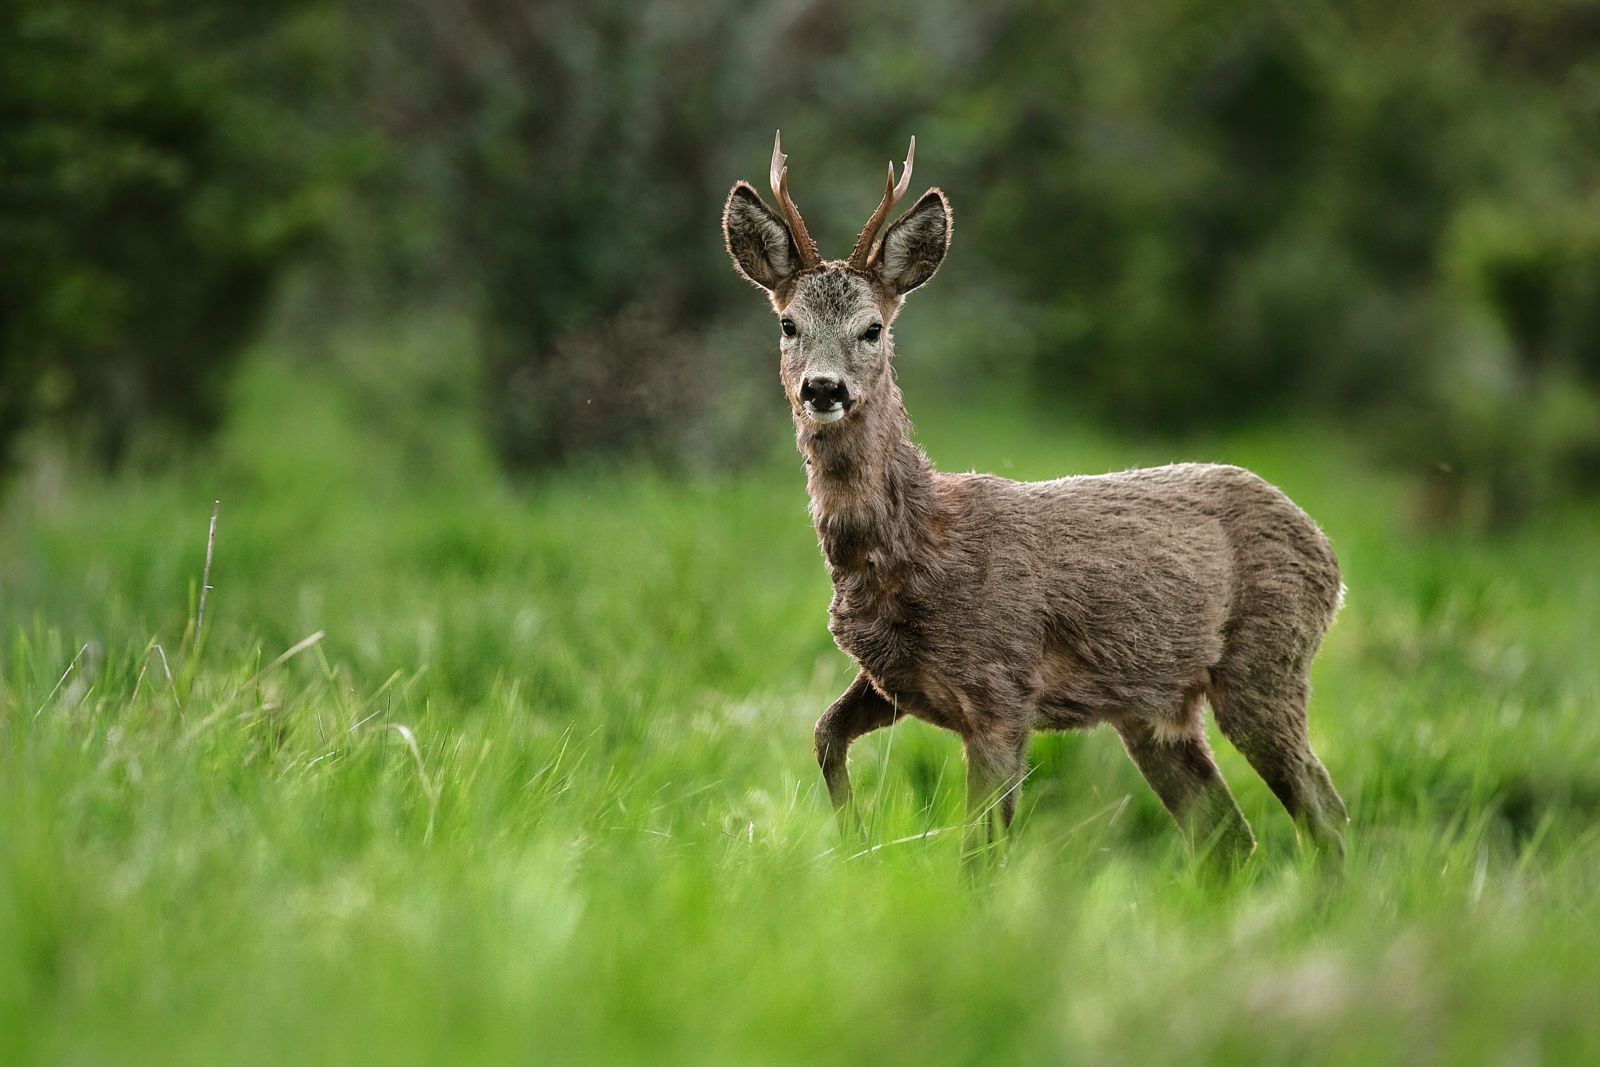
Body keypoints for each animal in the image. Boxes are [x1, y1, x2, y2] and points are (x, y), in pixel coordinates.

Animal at [726, 133, 1350, 870]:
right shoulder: (895, 679)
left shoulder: (1002, 685)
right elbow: (825, 734)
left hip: (1267, 660)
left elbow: (980, 848)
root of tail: (1328, 555)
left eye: (872, 328)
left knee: (1322, 810)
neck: (915, 548)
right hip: (1154, 710)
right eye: (788, 323)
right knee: (1227, 834)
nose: (824, 389)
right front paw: (856, 839)